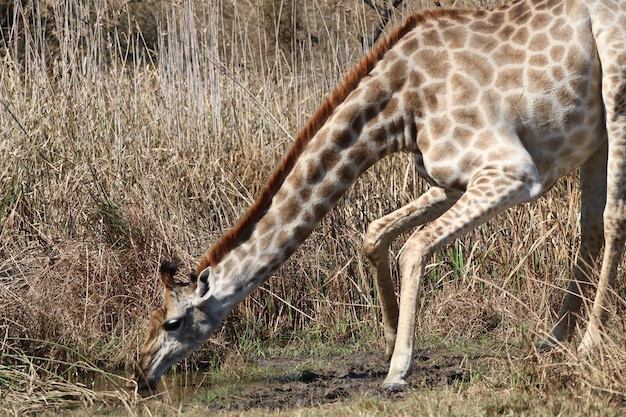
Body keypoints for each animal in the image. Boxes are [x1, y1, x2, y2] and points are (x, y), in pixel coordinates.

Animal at [130, 0, 624, 392]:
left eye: (173, 321)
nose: (139, 371)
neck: (399, 109)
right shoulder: (450, 180)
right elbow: (375, 233)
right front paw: (388, 342)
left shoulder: (513, 171)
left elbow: (414, 247)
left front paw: (397, 371)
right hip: (592, 135)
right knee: (591, 228)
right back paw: (552, 340)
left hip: (617, 96)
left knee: (614, 218)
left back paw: (588, 343)